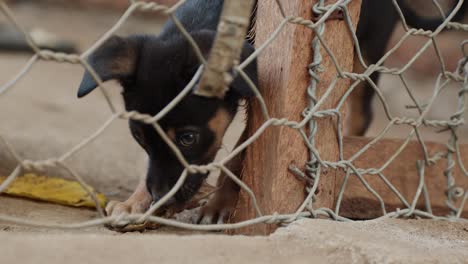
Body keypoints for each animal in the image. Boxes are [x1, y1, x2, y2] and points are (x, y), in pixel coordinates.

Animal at [78, 0, 258, 226]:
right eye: (138, 136)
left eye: (188, 138)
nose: (161, 197)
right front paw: (134, 201)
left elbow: (240, 155)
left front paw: (220, 202)